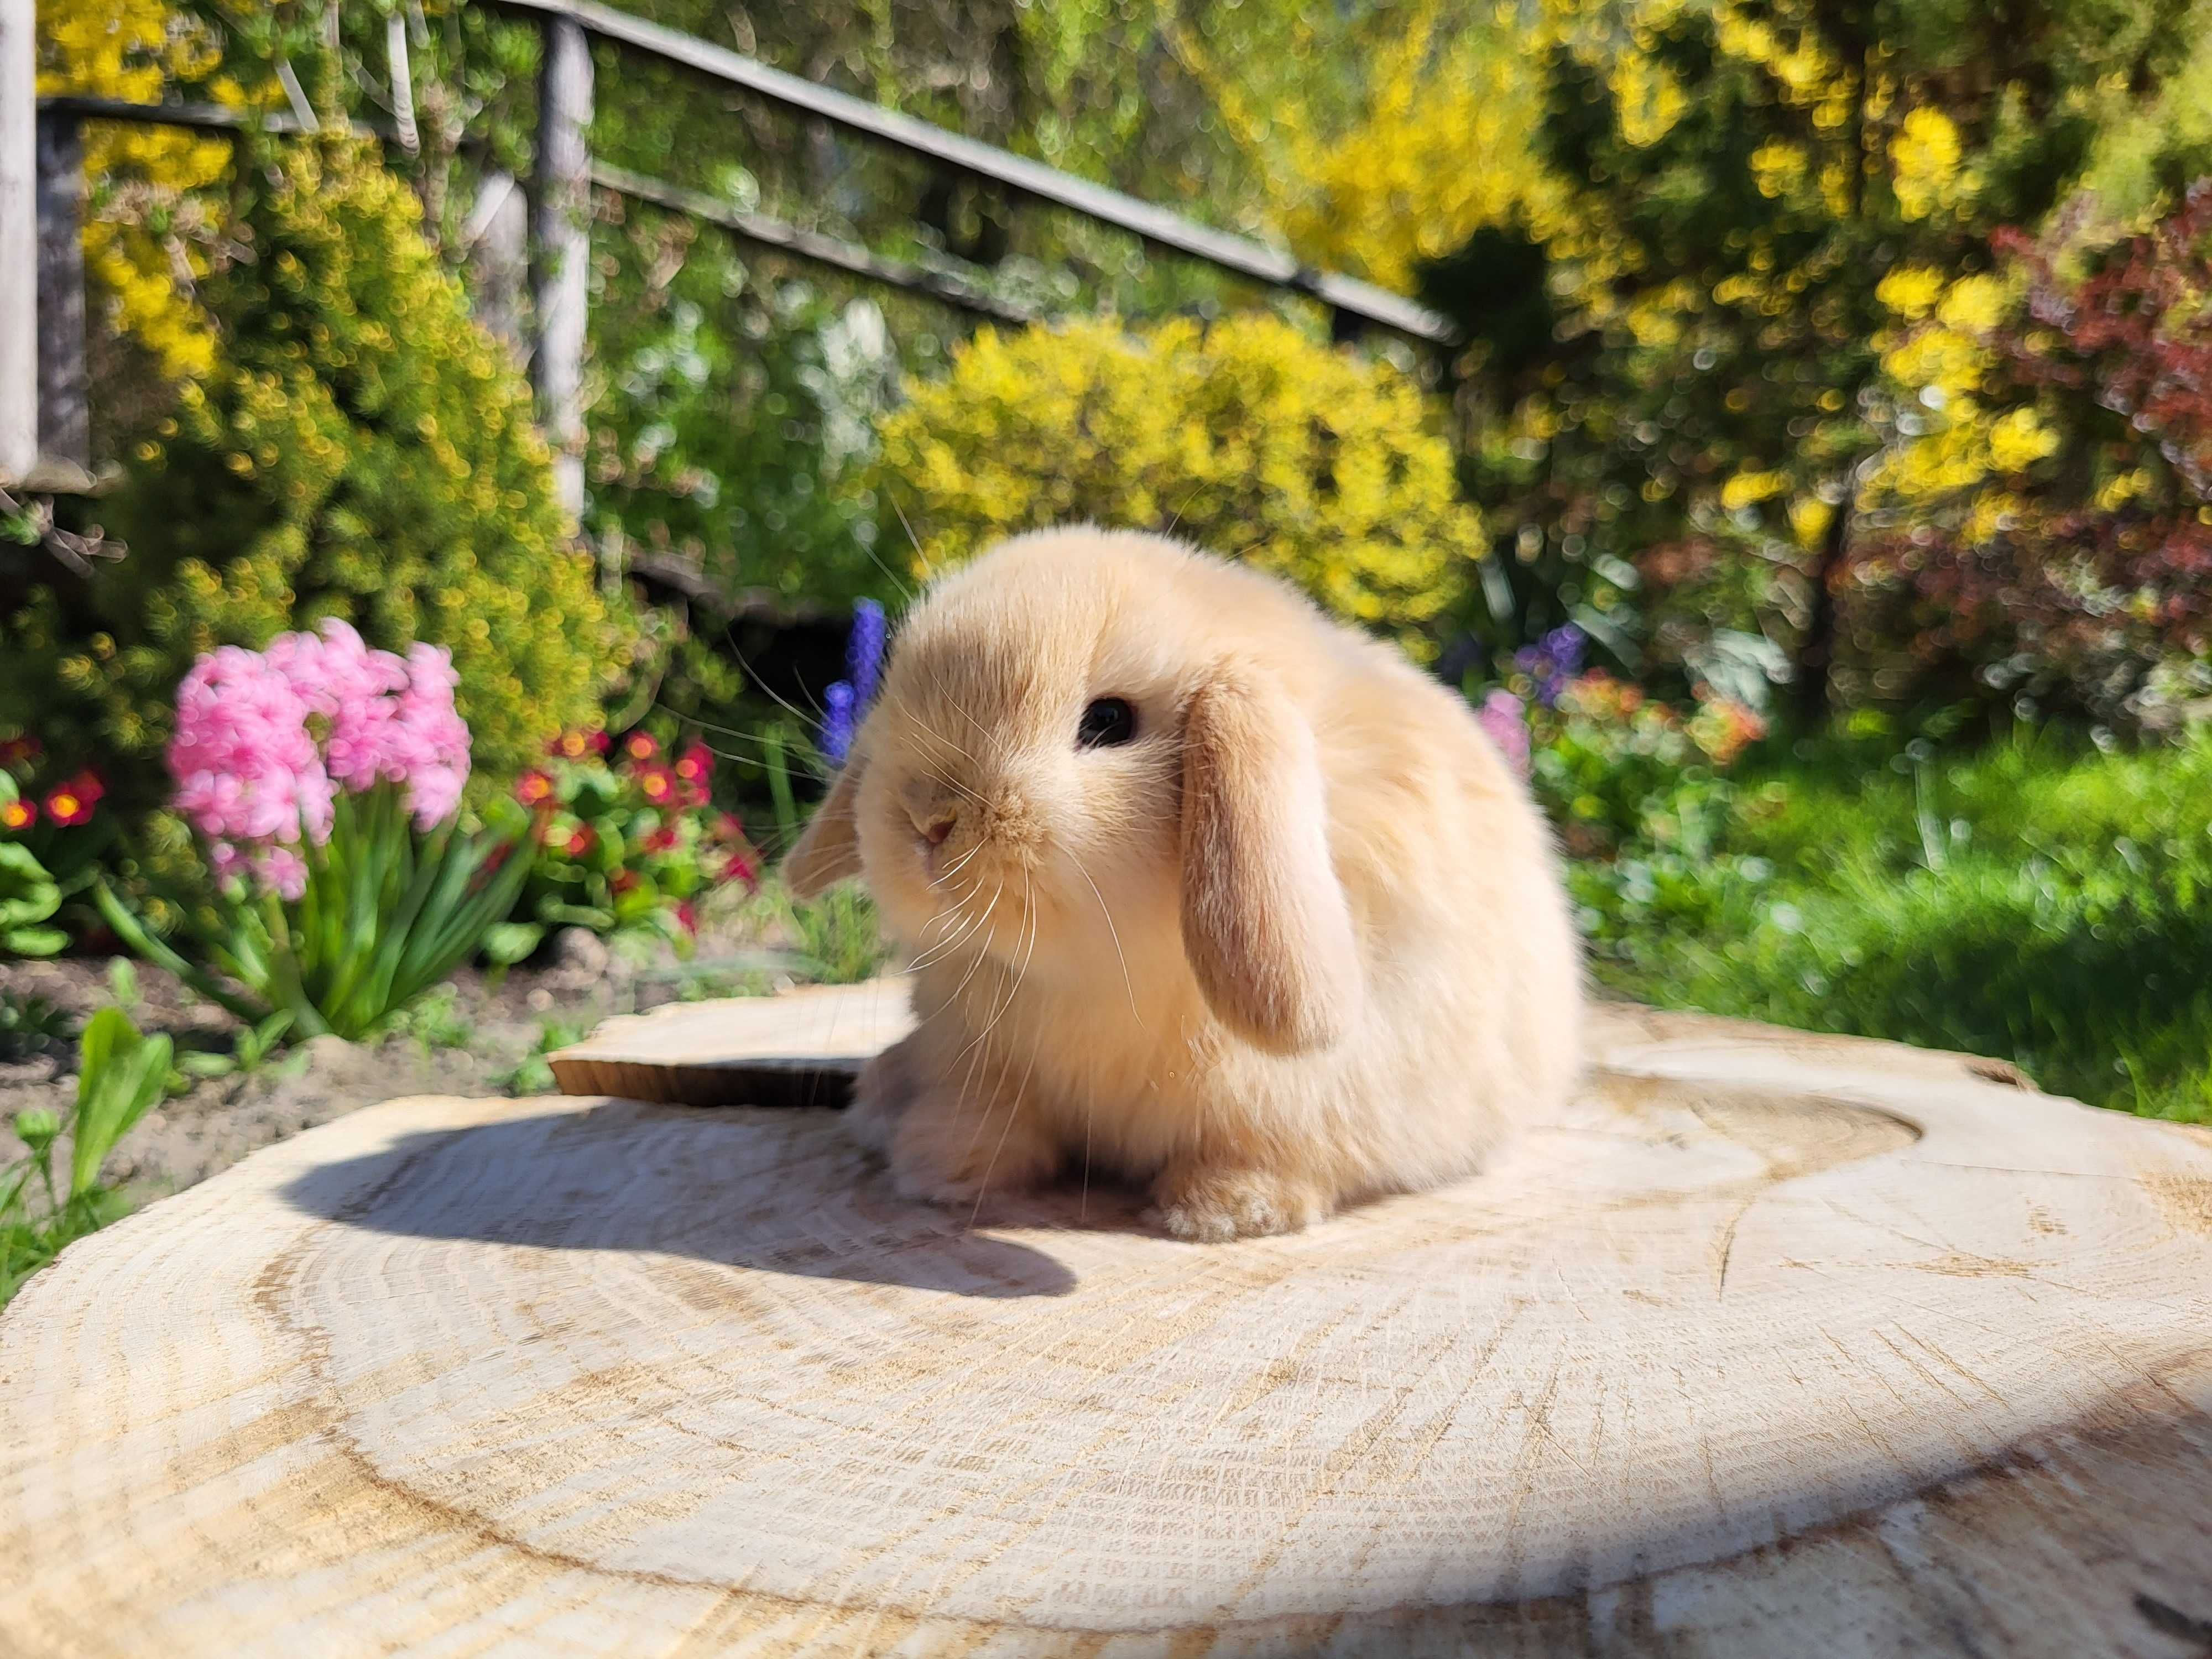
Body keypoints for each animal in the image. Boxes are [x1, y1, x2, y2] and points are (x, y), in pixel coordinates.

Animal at [787, 526, 1584, 1239]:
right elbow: (981, 1114)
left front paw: (1228, 1210)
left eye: (1108, 722)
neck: (1100, 977)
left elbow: (1272, 1148)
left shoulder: (1316, 1093)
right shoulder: (977, 1057)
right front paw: (938, 1167)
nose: (929, 818)